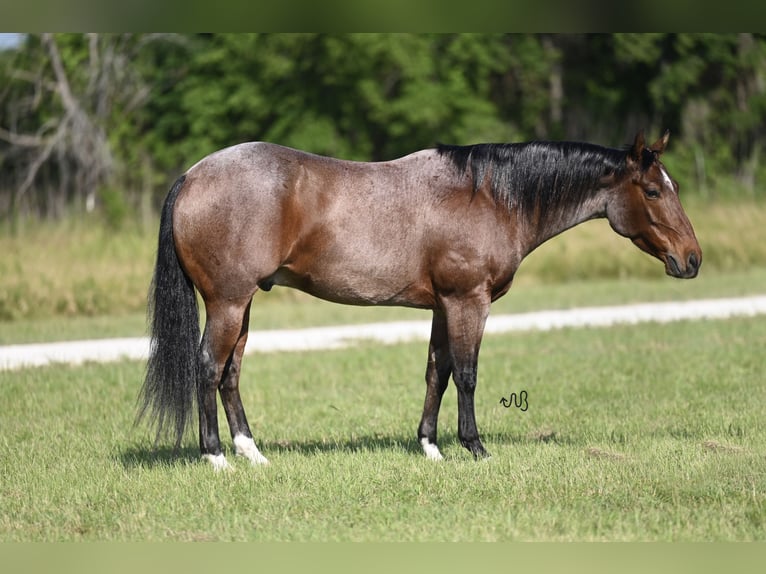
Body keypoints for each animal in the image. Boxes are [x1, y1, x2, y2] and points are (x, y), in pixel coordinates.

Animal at [136, 132, 704, 472]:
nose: (692, 259)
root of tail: (192, 175)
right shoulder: (468, 301)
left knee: (230, 372)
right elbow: (468, 375)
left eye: (670, 185)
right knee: (208, 367)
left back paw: (251, 452)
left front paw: (430, 446)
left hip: (243, 304)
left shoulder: (442, 306)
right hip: (228, 303)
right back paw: (216, 457)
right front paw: (475, 447)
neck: (489, 196)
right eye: (653, 191)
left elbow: (438, 372)